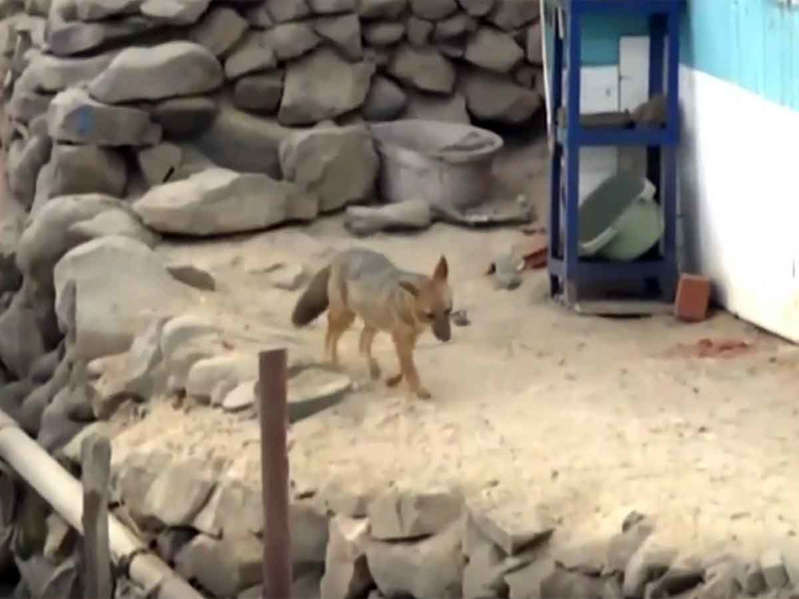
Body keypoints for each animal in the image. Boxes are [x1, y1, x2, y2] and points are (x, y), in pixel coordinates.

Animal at [290, 248, 454, 398]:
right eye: (430, 315)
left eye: (448, 311)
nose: (446, 338)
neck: (407, 305)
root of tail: (339, 257)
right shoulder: (401, 340)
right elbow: (410, 370)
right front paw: (419, 390)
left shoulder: (410, 339)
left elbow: (404, 368)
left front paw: (394, 381)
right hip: (345, 317)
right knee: (331, 337)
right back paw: (333, 362)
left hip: (371, 324)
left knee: (362, 345)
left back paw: (373, 369)